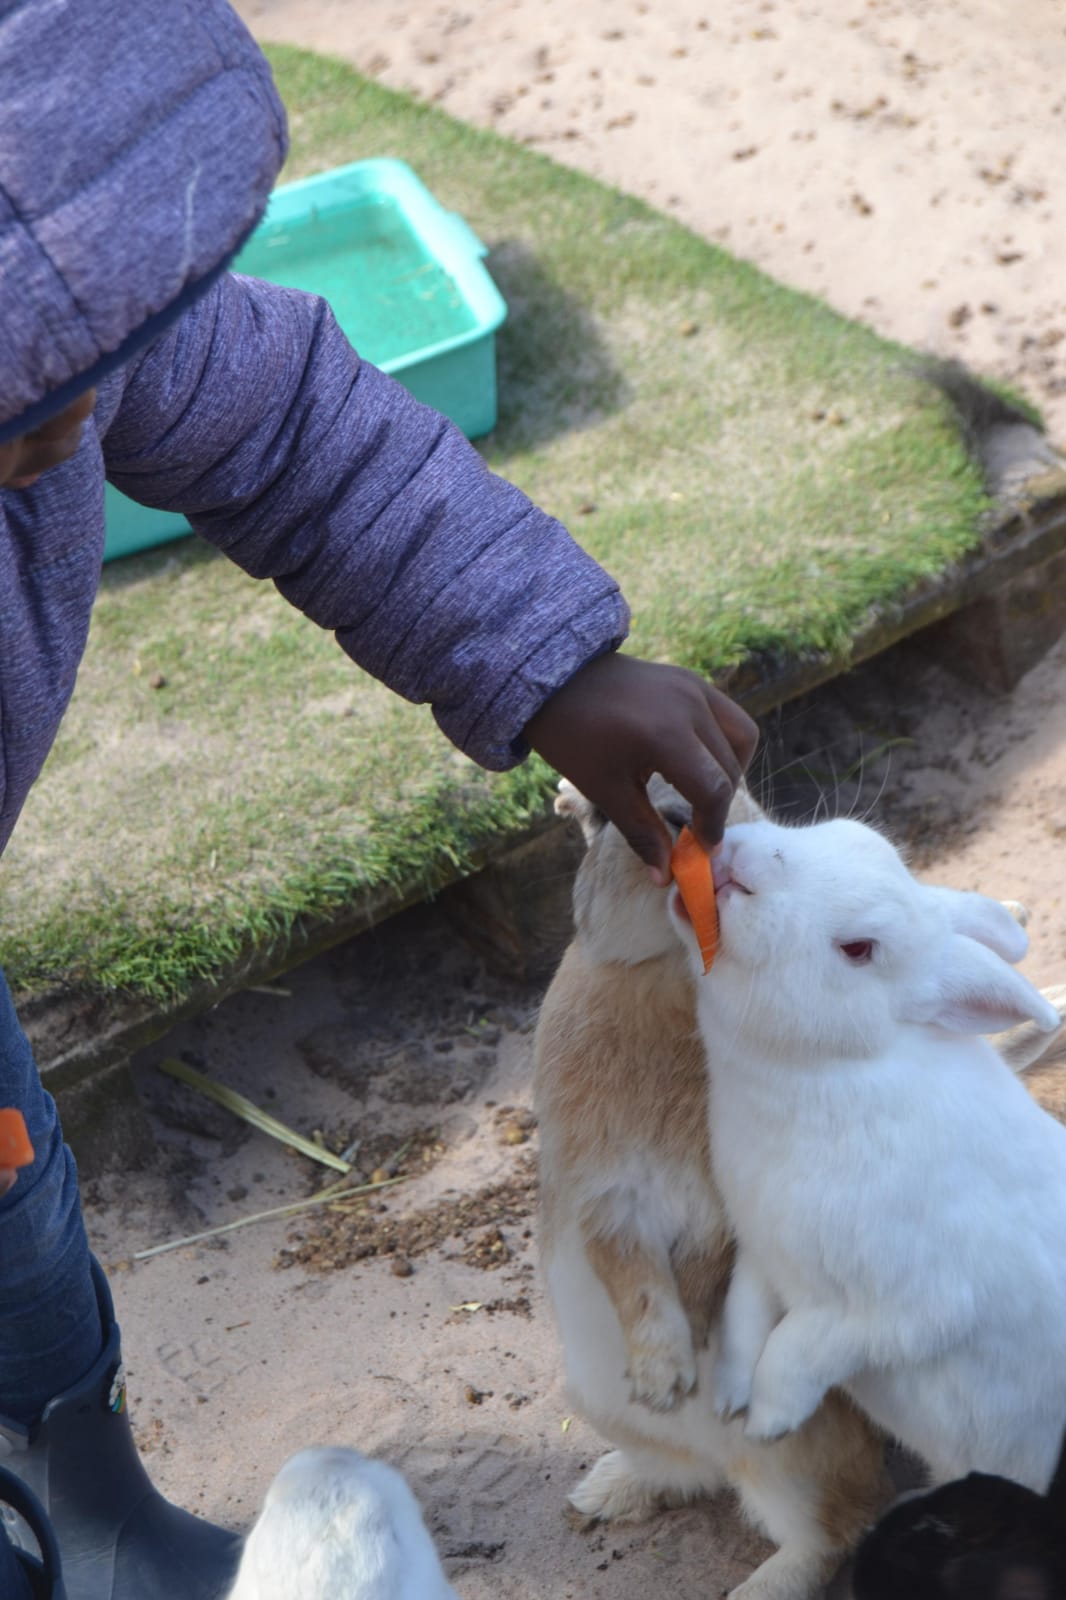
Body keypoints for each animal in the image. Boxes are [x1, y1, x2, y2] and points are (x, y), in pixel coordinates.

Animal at [534, 777, 894, 1600]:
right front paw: (665, 1376)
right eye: (601, 815)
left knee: (837, 1524)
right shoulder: (607, 1197)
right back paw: (606, 1489)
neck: (674, 966)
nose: (677, 824)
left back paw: (758, 1585)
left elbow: (703, 1266)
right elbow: (634, 1278)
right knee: (689, 1475)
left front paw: (697, 1350)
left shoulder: (724, 1207)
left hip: (789, 1455)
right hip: (595, 1401)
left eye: (733, 797)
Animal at [667, 813, 1066, 1496]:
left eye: (858, 949)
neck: (830, 1070)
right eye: (843, 830)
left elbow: (798, 1346)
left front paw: (768, 1423)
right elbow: (744, 1316)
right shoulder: (760, 1250)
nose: (737, 858)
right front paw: (728, 1398)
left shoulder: (903, 1307)